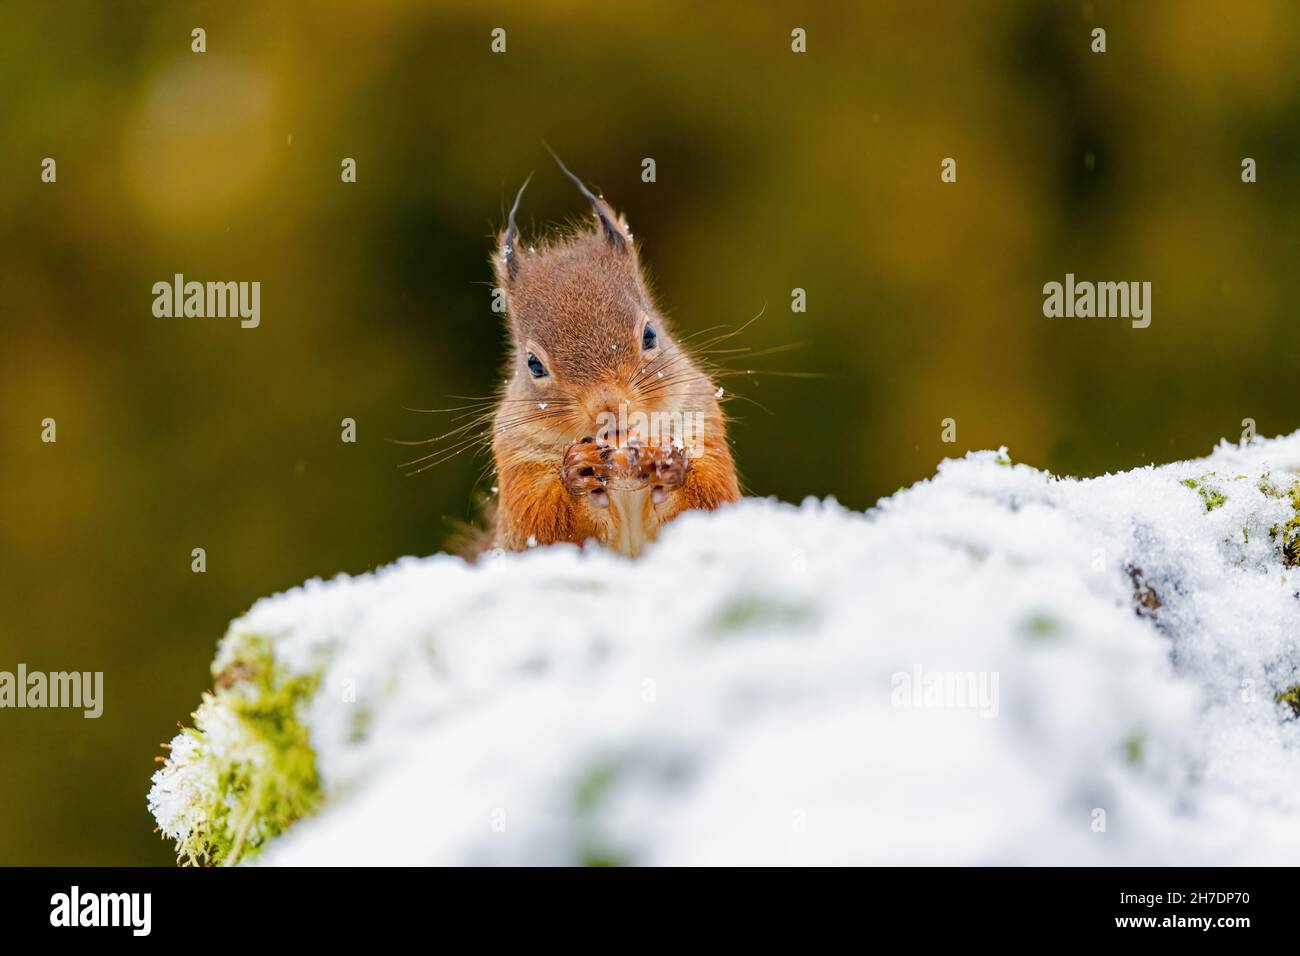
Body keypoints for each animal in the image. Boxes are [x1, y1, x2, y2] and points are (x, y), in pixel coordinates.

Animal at [485, 153, 740, 557]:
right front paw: (576, 470)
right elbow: (539, 526)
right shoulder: (515, 456)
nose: (609, 406)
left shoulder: (703, 421)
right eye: (533, 365)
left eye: (650, 335)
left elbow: (714, 498)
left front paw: (672, 461)